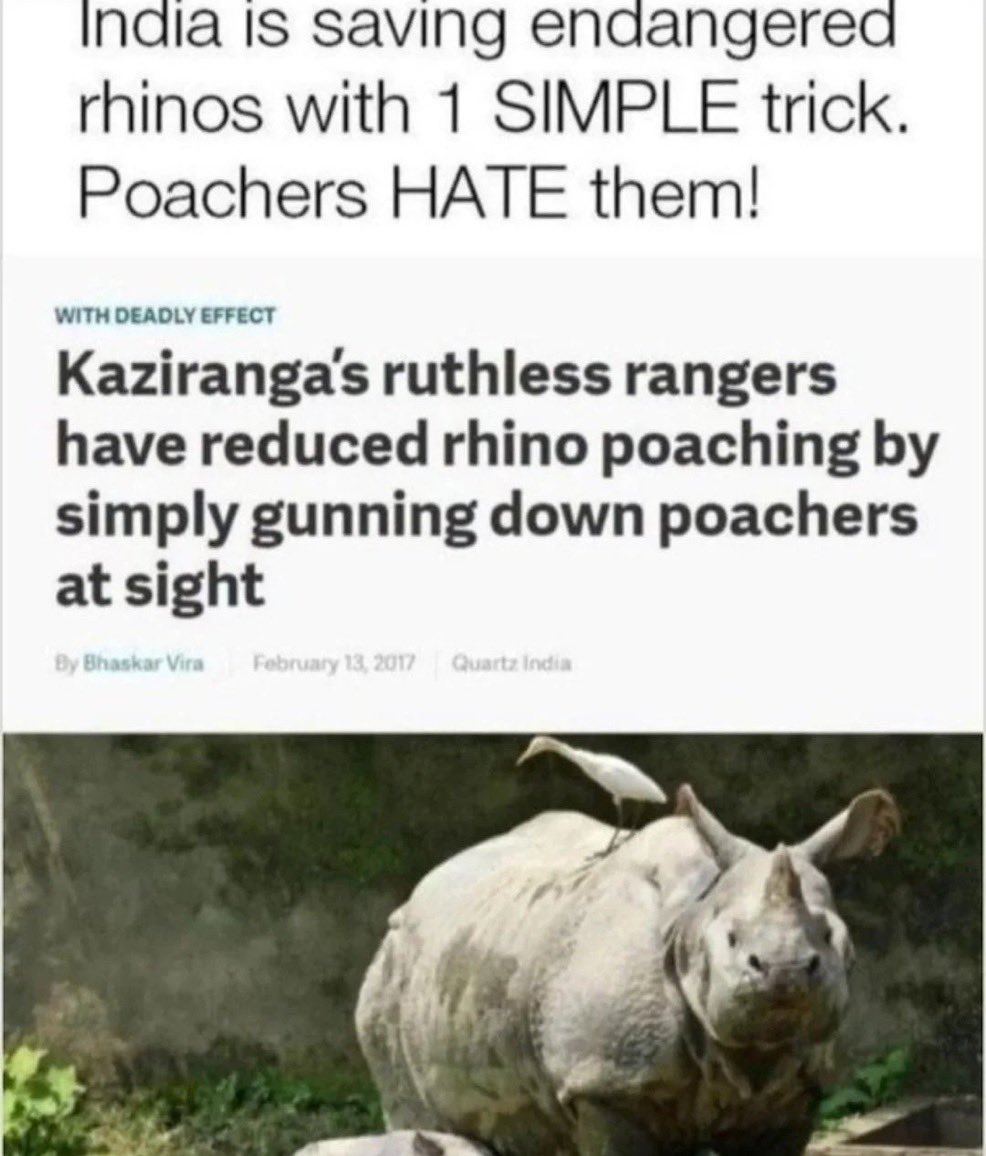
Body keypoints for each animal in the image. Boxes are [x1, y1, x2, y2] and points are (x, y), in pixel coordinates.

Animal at [355, 783, 901, 1156]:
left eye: (829, 937)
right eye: (731, 938)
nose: (784, 971)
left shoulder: (796, 1093)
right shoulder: (604, 1083)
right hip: (388, 976)